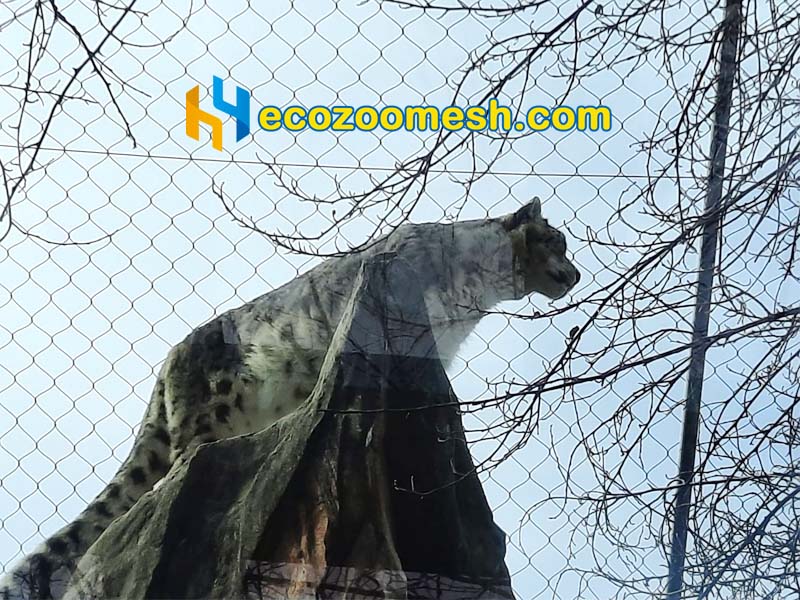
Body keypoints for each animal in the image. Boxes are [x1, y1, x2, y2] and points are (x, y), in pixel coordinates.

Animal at [0, 197, 579, 599]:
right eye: (557, 240)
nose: (575, 274)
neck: (469, 299)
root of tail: (168, 364)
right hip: (203, 418)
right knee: (176, 470)